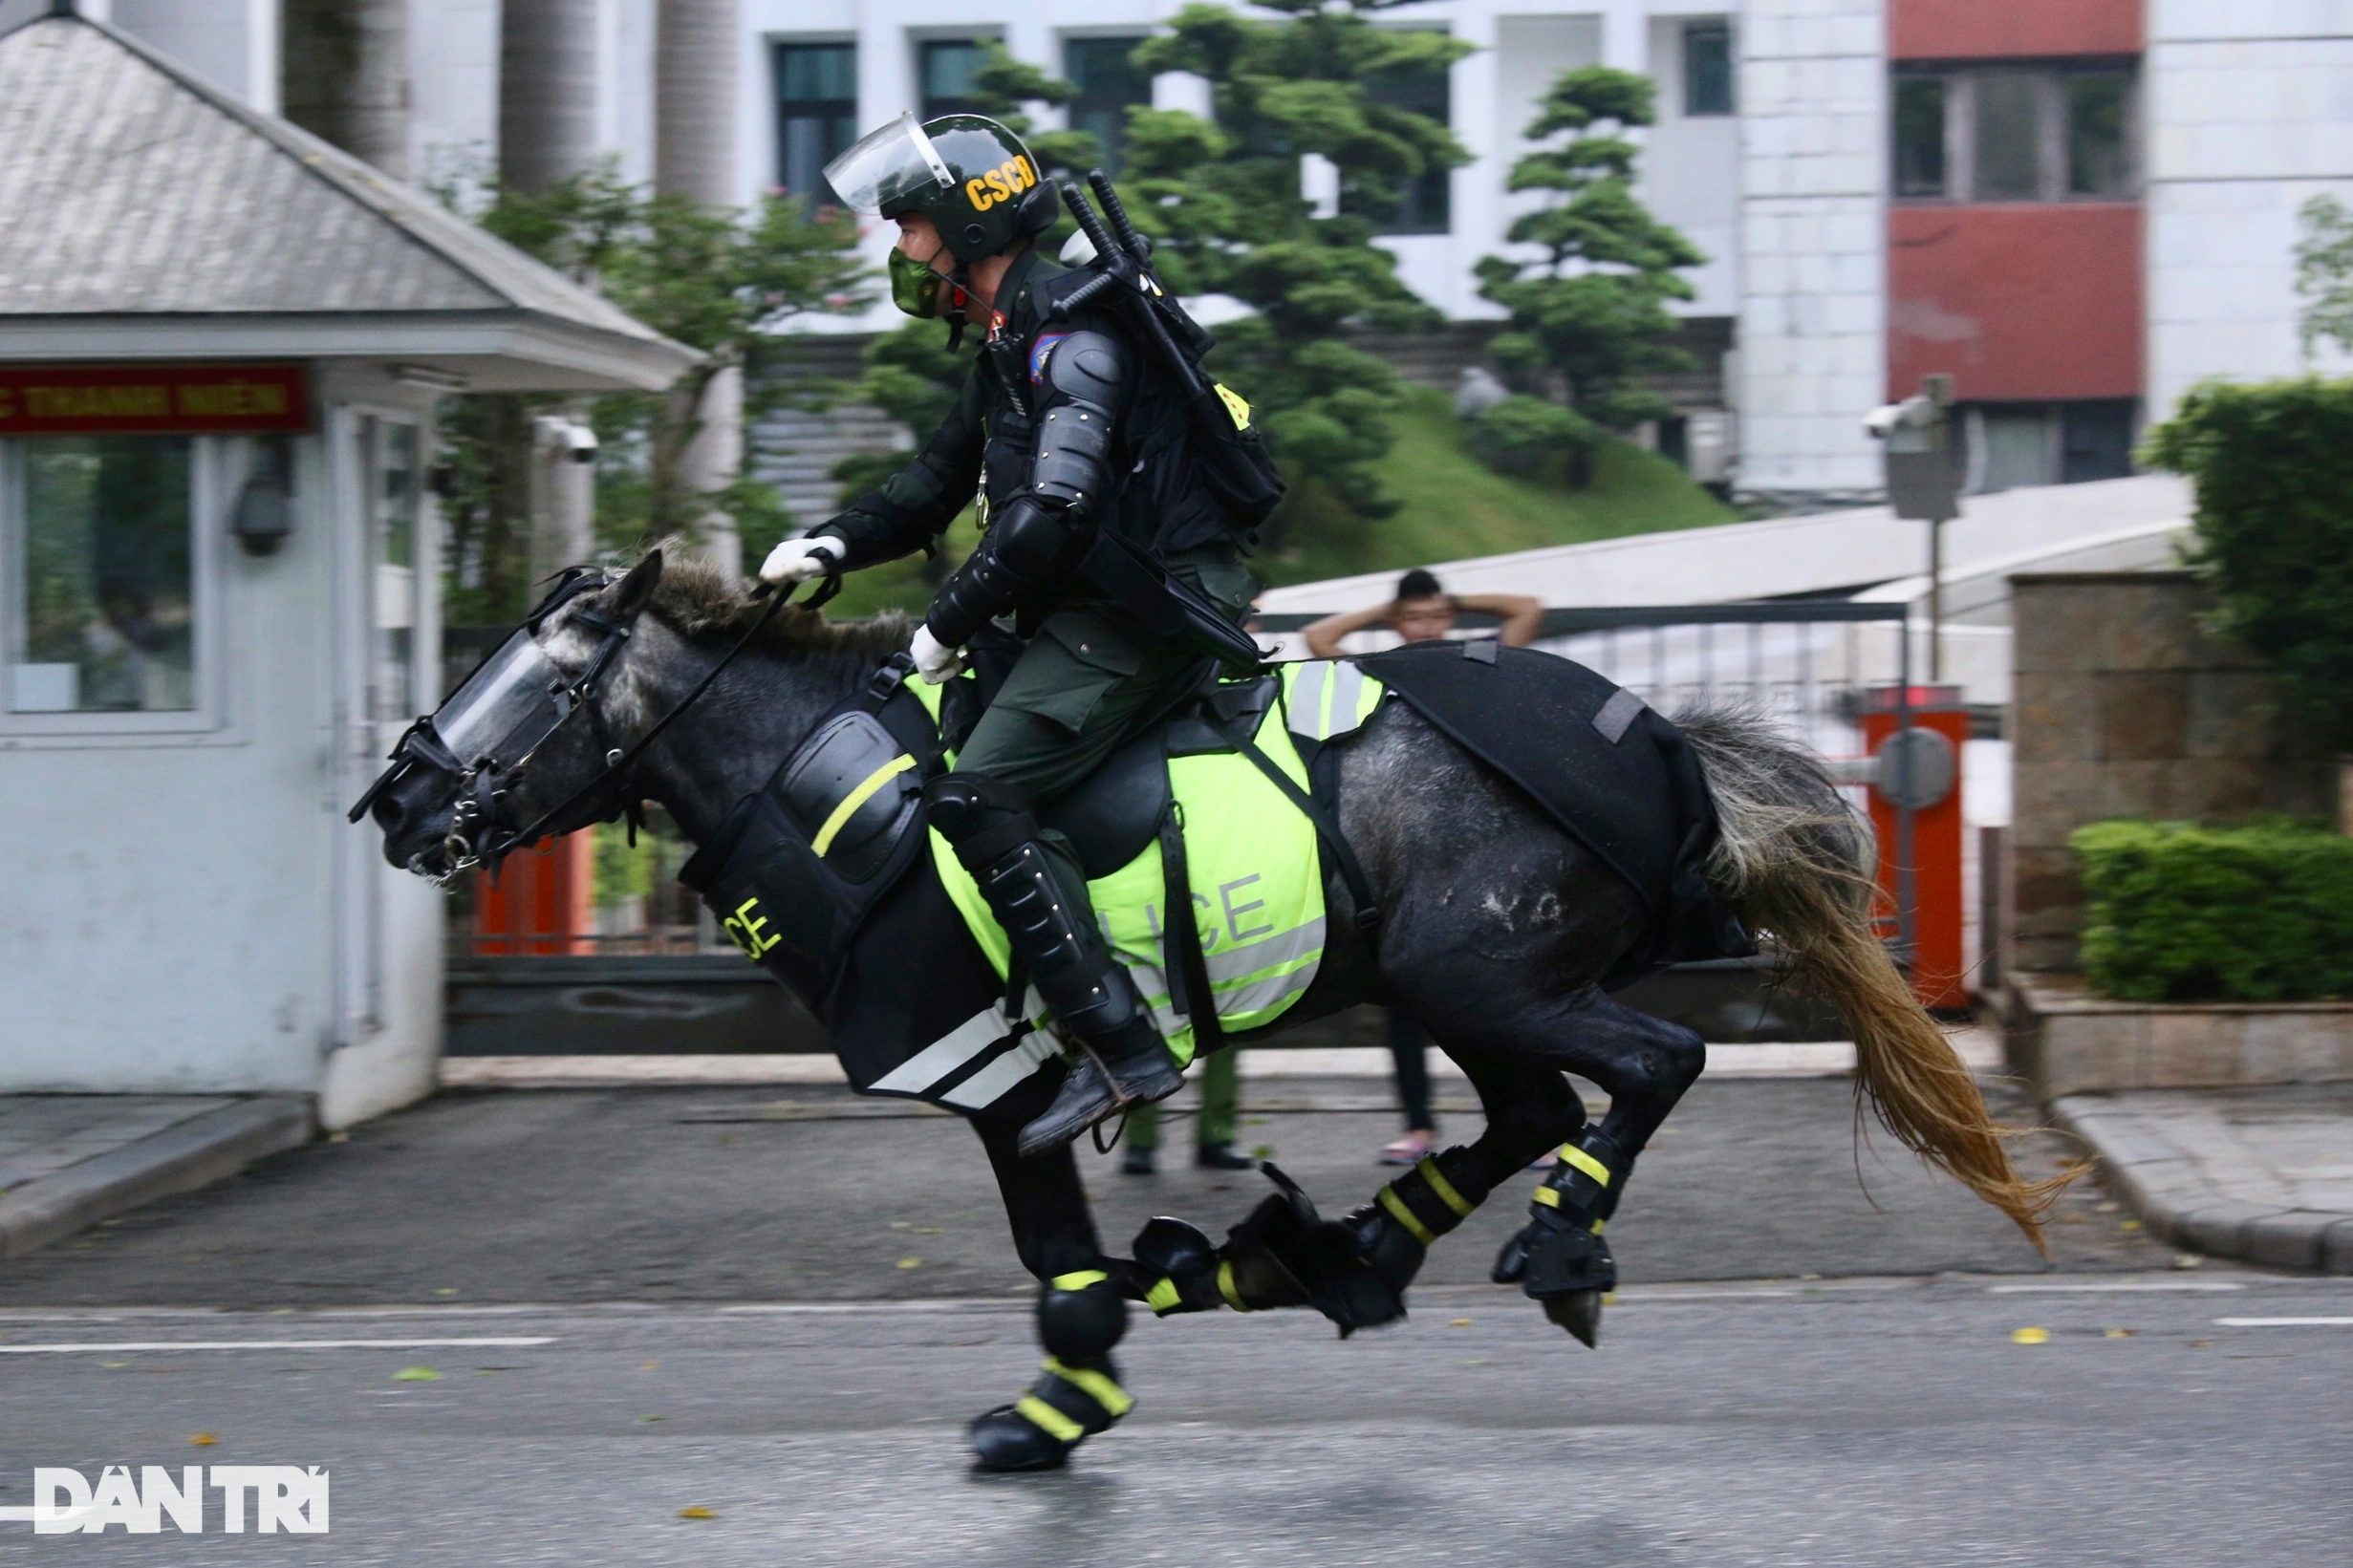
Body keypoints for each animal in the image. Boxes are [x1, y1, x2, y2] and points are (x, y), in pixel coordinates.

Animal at [362, 552, 2061, 1476]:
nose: (399, 801)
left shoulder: (1007, 1085)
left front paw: (1055, 1408)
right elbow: (1080, 1269)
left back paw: (1556, 1251)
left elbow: (1065, 1273)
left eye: (529, 680)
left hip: (1485, 974)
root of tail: (1662, 742)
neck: (829, 791)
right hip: (1462, 988)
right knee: (1531, 1113)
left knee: (1654, 1063)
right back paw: (1344, 1252)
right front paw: (1181, 1296)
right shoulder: (1011, 1097)